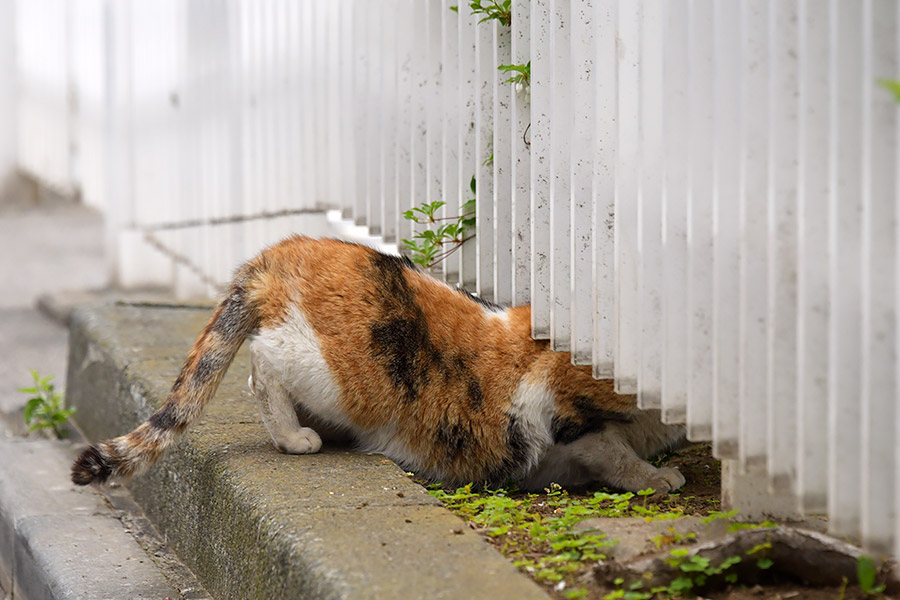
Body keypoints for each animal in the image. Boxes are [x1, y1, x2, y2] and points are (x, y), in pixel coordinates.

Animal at [72, 234, 688, 492]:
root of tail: (281, 251)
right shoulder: (568, 415)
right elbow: (615, 453)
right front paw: (659, 477)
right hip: (335, 372)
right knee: (262, 361)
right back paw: (294, 437)